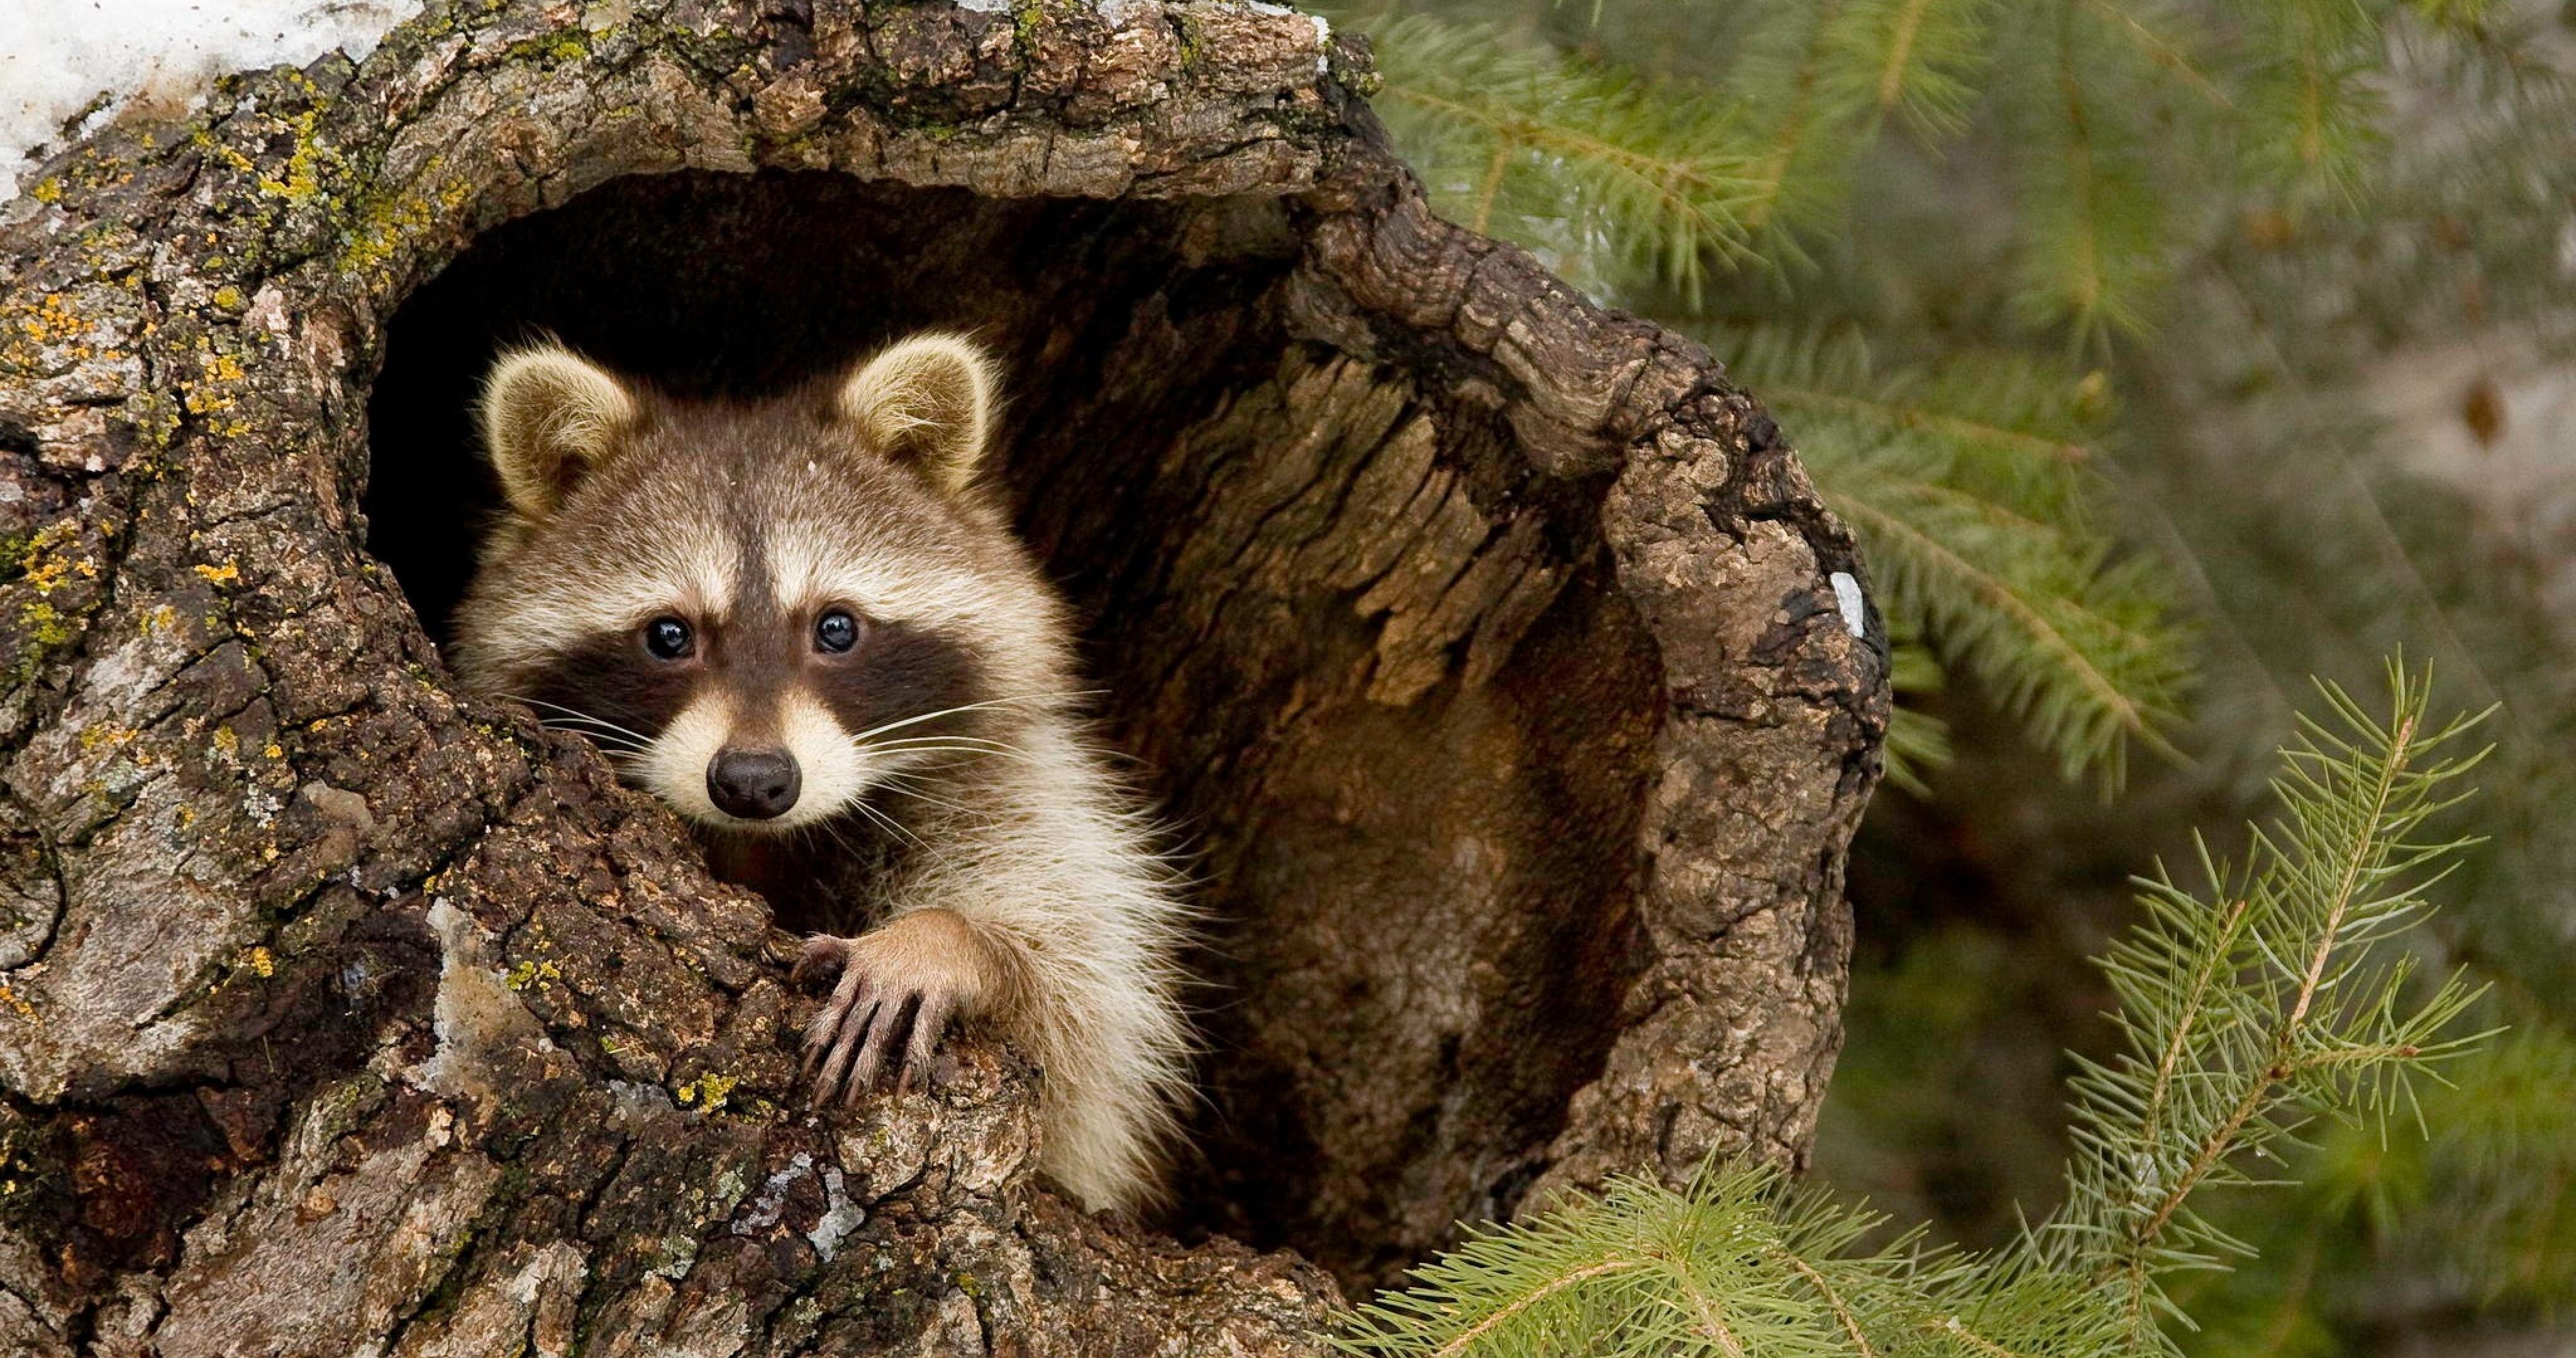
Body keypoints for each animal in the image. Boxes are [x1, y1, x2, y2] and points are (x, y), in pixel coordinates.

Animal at [448, 333, 1192, 1212]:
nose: (752, 781)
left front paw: (947, 939)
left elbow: (1080, 1005)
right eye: (669, 636)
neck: (765, 842)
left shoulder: (1017, 782)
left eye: (836, 628)